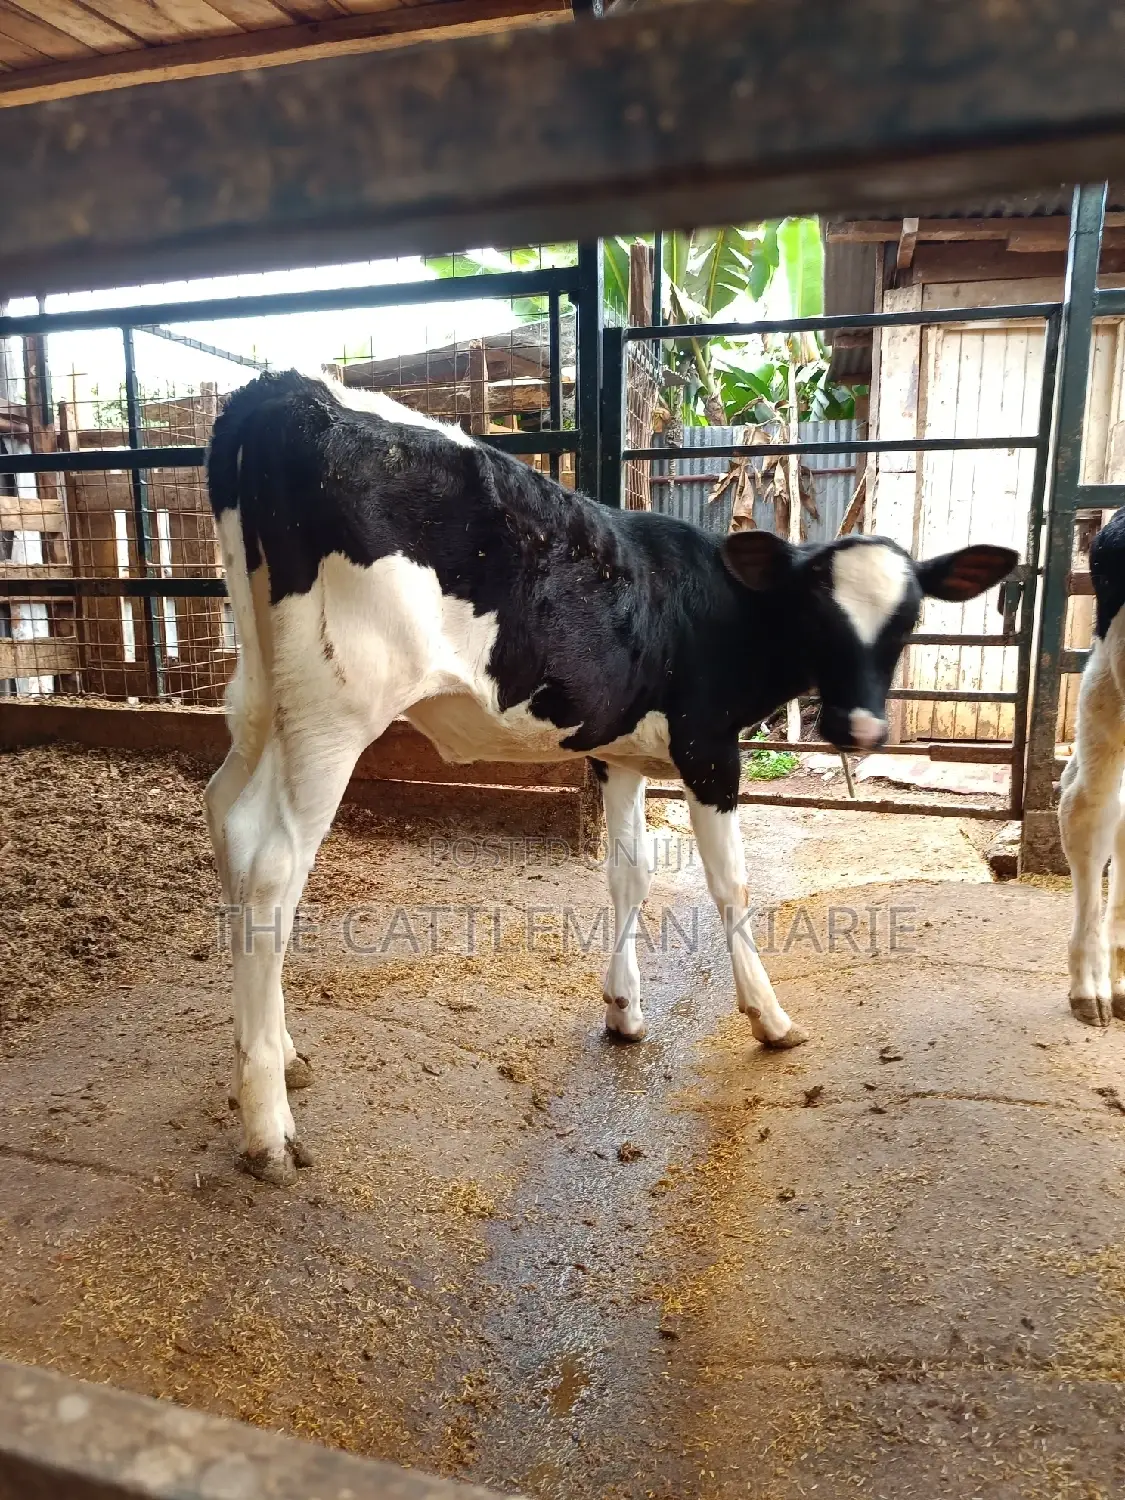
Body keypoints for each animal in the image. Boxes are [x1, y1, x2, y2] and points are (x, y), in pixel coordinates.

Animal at [204, 370, 1017, 1182]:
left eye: (908, 620)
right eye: (816, 615)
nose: (862, 729)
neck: (718, 604)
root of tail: (284, 388)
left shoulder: (619, 753)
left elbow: (631, 873)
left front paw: (623, 1010)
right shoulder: (708, 748)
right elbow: (731, 884)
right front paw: (769, 1017)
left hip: (263, 694)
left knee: (227, 818)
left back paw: (274, 1056)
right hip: (334, 710)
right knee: (273, 869)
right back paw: (268, 1125)